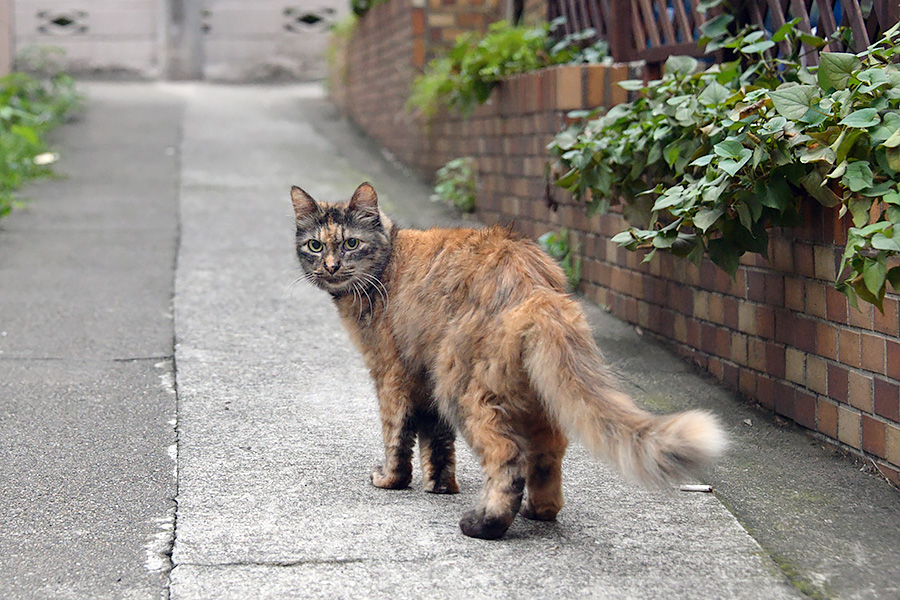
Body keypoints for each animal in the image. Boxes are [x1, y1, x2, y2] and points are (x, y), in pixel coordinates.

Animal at [292, 182, 728, 540]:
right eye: (315, 245)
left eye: (350, 243)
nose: (330, 267)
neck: (387, 265)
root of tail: (535, 286)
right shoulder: (425, 379)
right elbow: (437, 443)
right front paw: (440, 487)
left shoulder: (392, 375)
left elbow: (397, 437)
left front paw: (391, 481)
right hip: (521, 393)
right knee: (548, 451)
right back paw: (541, 511)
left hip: (463, 389)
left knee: (508, 458)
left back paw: (485, 524)